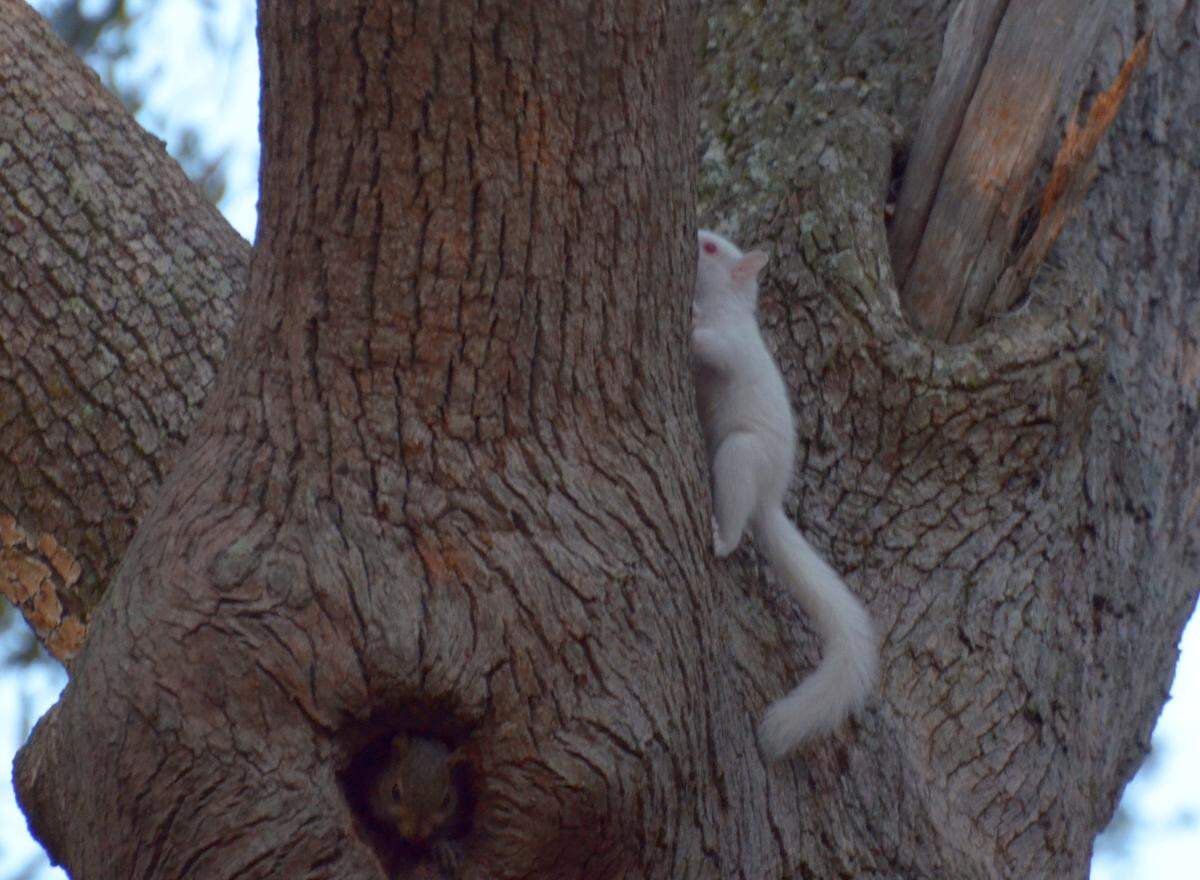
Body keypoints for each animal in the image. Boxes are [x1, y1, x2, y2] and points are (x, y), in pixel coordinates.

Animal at [690, 229, 878, 760]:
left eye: (711, 249)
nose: (694, 233)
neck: (725, 302)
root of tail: (768, 500)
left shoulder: (734, 344)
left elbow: (713, 348)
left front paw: (689, 320)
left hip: (741, 456)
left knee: (734, 526)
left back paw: (722, 538)